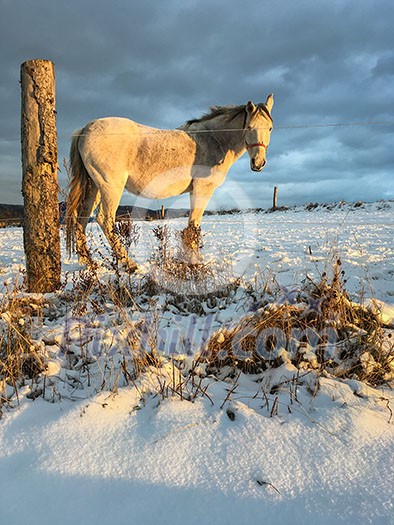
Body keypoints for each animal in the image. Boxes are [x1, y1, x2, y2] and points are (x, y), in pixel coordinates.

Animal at [65, 93, 274, 270]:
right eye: (249, 127)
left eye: (270, 128)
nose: (258, 163)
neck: (212, 139)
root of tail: (85, 128)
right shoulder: (202, 189)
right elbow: (194, 224)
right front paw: (194, 259)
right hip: (110, 187)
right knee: (104, 220)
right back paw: (129, 264)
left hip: (94, 187)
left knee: (81, 219)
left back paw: (88, 262)